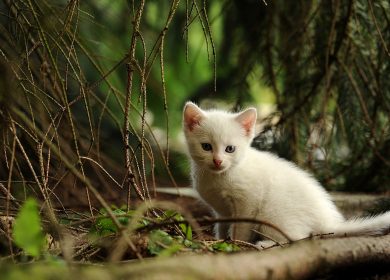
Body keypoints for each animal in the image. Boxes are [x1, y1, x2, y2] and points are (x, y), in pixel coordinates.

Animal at [183, 102, 390, 247]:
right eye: (206, 147)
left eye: (230, 149)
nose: (217, 161)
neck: (219, 176)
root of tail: (327, 223)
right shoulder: (221, 210)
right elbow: (222, 225)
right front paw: (219, 239)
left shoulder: (248, 202)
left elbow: (240, 227)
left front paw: (236, 243)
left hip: (272, 214)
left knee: (298, 237)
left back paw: (264, 244)